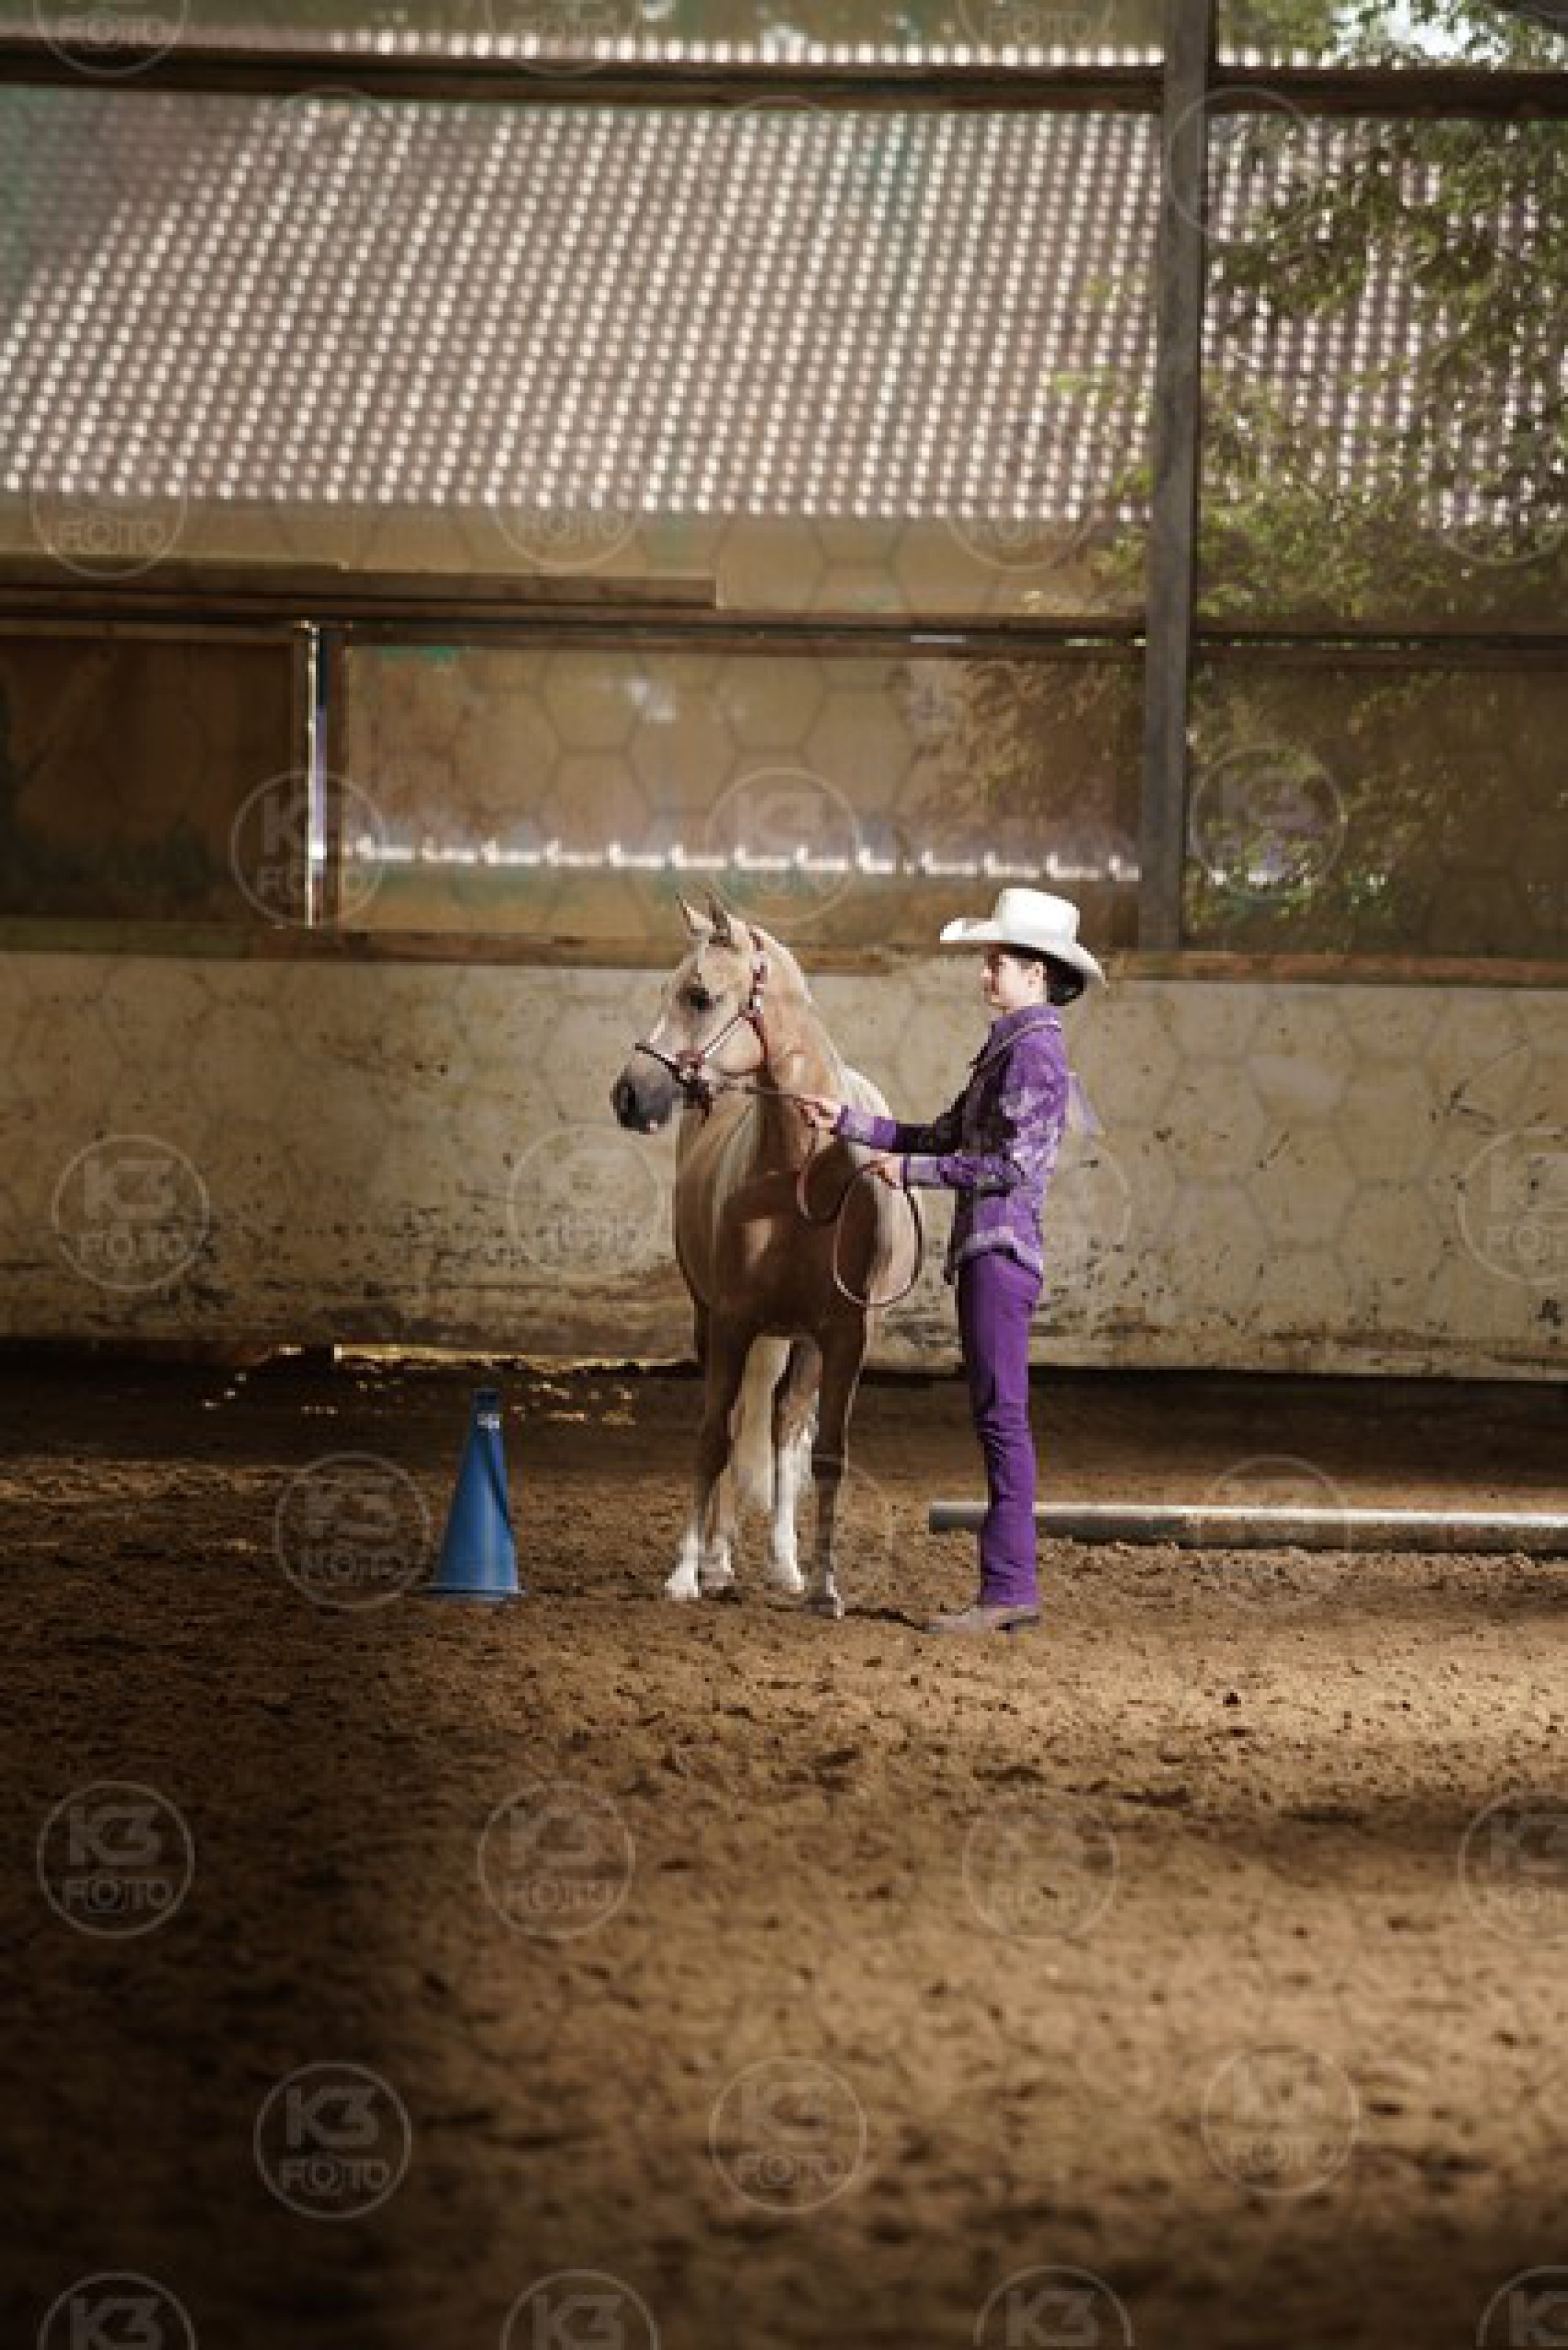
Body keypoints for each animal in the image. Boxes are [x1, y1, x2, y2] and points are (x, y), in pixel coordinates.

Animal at [609, 892, 921, 1619]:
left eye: (700, 995)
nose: (629, 1095)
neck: (800, 1173)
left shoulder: (845, 1334)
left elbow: (826, 1452)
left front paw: (827, 1586)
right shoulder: (730, 1321)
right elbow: (712, 1437)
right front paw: (685, 1573)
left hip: (801, 1341)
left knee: (784, 1426)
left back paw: (785, 1565)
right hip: (726, 1324)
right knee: (739, 1423)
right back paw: (721, 1560)